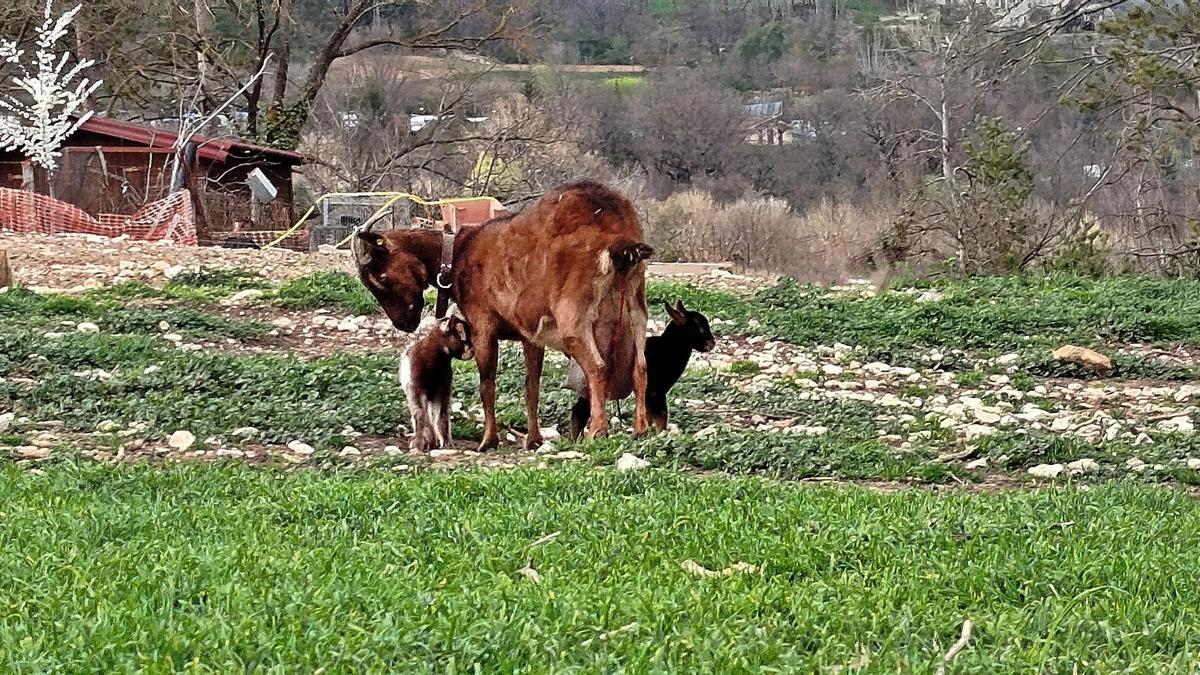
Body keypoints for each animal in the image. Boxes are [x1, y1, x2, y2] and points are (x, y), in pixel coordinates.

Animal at [355, 181, 657, 449]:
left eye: (381, 278)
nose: (403, 323)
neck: (459, 251)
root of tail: (617, 237)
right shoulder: (531, 335)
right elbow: (531, 386)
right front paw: (533, 440)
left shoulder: (483, 325)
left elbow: (487, 384)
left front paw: (488, 441)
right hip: (635, 305)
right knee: (640, 366)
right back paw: (640, 429)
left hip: (574, 318)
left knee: (597, 366)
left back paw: (598, 429)